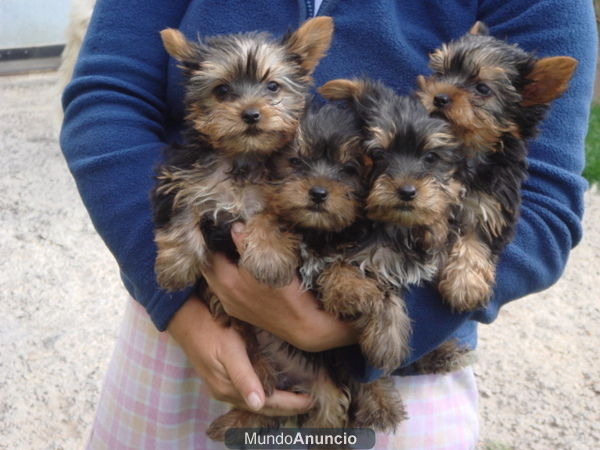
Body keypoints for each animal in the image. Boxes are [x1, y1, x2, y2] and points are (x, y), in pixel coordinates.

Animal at [150, 18, 336, 440]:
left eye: (273, 87)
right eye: (221, 91)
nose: (251, 114)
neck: (242, 157)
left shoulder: (281, 194)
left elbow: (267, 219)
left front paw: (267, 259)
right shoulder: (182, 177)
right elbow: (183, 212)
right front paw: (175, 267)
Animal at [418, 22, 576, 312]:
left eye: (482, 89)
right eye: (441, 73)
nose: (439, 97)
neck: (467, 149)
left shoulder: (492, 204)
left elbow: (477, 239)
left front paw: (465, 284)